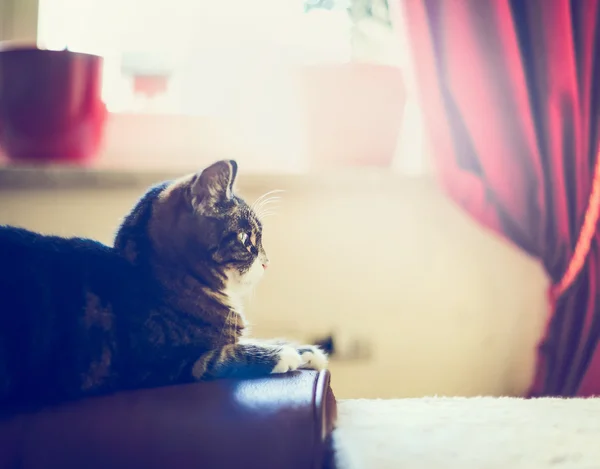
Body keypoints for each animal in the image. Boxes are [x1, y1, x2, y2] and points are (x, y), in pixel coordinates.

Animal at [0, 159, 328, 412]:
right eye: (247, 238)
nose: (267, 261)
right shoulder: (166, 365)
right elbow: (225, 353)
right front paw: (283, 355)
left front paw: (301, 348)